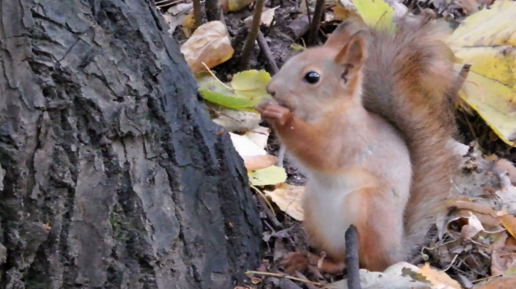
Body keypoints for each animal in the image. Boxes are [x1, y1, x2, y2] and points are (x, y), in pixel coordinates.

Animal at [256, 16, 462, 274]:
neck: (328, 111)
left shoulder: (348, 139)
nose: (270, 89)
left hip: (369, 213)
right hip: (314, 211)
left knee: (369, 264)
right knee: (339, 260)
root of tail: (397, 250)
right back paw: (304, 260)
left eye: (312, 77)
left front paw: (282, 117)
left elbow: (320, 152)